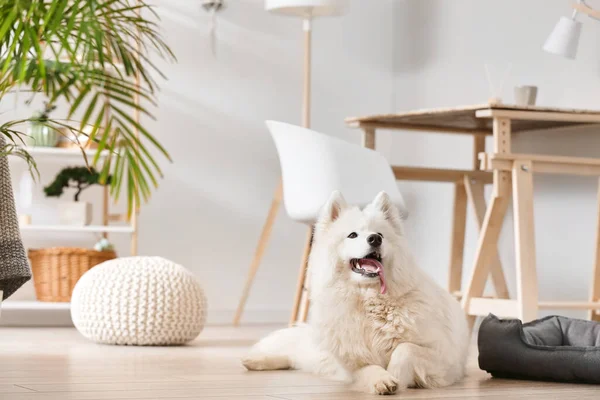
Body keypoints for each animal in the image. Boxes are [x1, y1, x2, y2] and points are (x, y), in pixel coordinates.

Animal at [241, 192, 472, 396]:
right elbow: (367, 368)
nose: (375, 239)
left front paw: (396, 376)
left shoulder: (445, 358)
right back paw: (254, 361)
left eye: (381, 234)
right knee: (292, 354)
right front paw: (382, 379)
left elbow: (405, 349)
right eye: (352, 235)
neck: (371, 301)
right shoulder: (350, 360)